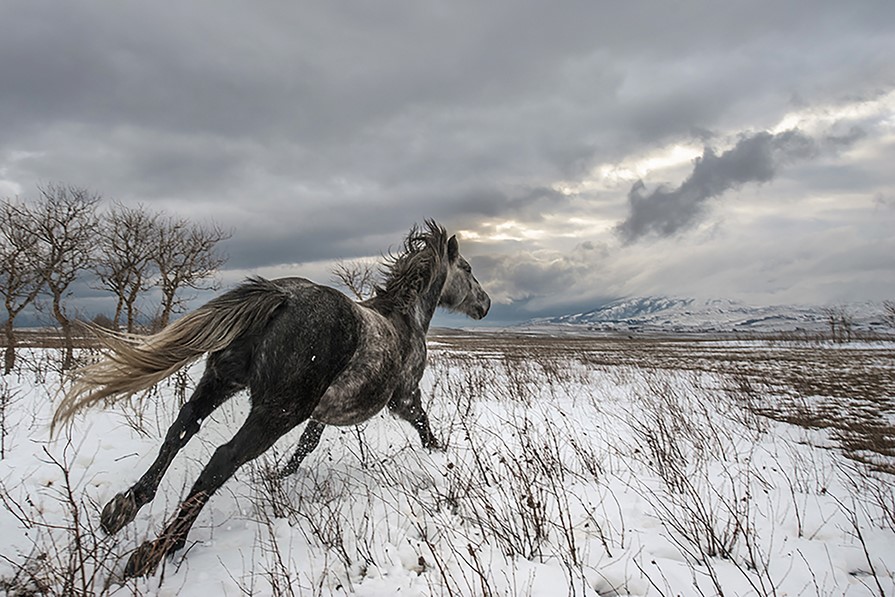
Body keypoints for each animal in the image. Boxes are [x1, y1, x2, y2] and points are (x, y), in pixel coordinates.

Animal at [54, 220, 490, 576]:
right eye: (468, 270)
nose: (485, 305)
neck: (403, 320)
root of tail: (281, 296)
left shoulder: (323, 412)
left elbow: (306, 445)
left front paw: (280, 476)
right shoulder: (403, 399)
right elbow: (425, 427)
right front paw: (442, 458)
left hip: (222, 381)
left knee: (182, 427)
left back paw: (123, 508)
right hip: (276, 412)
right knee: (222, 459)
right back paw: (157, 550)